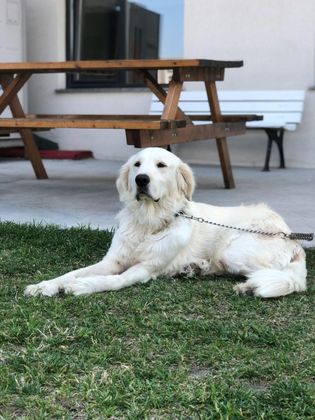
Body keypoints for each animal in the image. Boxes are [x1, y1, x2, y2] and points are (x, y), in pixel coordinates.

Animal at [25, 148, 308, 298]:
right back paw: (194, 268)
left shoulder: (145, 268)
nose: (141, 179)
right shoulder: (112, 261)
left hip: (235, 250)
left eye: (161, 165)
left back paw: (248, 285)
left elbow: (115, 280)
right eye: (137, 164)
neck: (149, 222)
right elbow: (73, 272)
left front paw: (85, 286)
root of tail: (292, 238)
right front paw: (46, 285)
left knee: (283, 277)